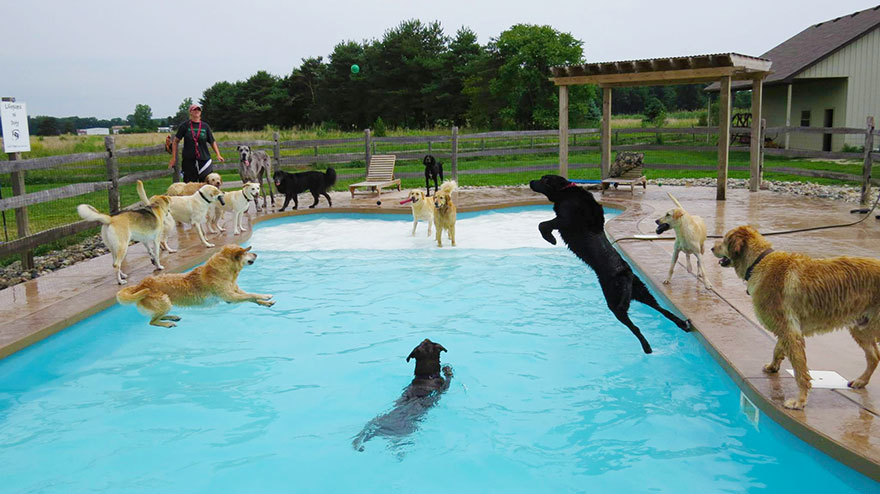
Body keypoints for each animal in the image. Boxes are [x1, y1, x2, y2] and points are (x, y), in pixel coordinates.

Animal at [117, 244, 274, 328]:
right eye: (247, 252)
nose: (256, 254)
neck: (224, 271)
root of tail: (140, 284)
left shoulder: (235, 292)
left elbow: (251, 296)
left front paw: (264, 301)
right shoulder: (230, 297)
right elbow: (251, 295)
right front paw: (266, 296)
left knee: (156, 317)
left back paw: (171, 317)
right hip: (164, 301)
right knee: (152, 321)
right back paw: (167, 323)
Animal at [524, 176, 692, 354]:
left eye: (543, 180)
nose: (531, 181)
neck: (565, 191)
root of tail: (627, 274)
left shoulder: (565, 219)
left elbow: (543, 224)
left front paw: (551, 239)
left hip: (615, 301)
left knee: (635, 327)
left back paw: (647, 347)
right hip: (642, 292)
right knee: (662, 310)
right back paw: (682, 324)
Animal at [712, 226, 880, 412]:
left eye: (724, 240)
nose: (711, 247)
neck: (758, 261)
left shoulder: (790, 331)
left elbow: (800, 371)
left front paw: (800, 400)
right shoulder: (788, 328)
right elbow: (777, 349)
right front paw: (773, 366)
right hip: (860, 327)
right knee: (874, 356)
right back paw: (861, 381)